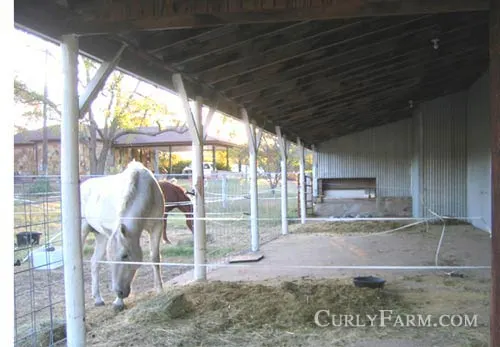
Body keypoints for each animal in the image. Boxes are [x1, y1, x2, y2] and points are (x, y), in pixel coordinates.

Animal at [80, 160, 166, 310]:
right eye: (110, 259)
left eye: (124, 255)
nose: (119, 292)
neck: (147, 190)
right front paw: (118, 302)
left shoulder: (157, 226)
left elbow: (155, 257)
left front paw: (160, 290)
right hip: (83, 230)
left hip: (102, 236)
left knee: (94, 262)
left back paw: (98, 299)